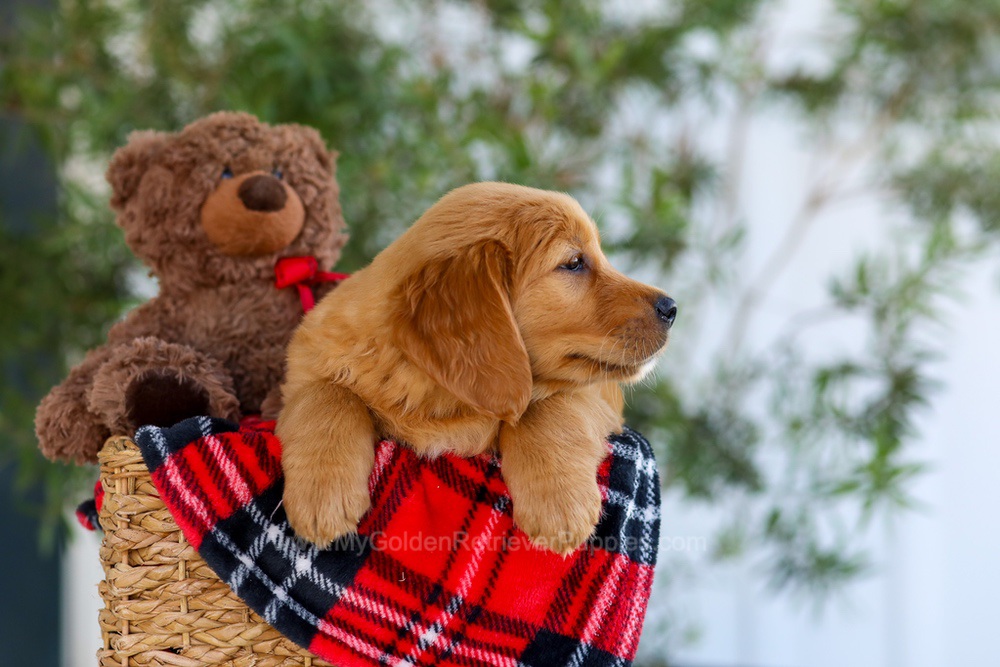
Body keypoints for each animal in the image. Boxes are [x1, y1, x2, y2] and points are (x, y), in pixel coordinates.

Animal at [278, 181, 676, 552]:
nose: (671, 308)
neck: (442, 398)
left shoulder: (599, 399)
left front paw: (559, 503)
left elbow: (548, 405)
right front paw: (321, 493)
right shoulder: (304, 365)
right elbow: (326, 392)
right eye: (574, 263)